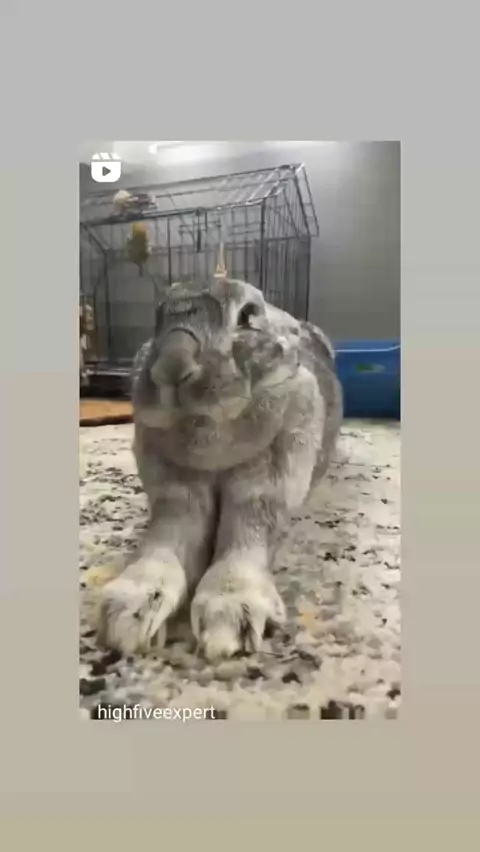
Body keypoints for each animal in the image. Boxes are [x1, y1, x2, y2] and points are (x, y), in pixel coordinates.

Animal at [92, 277, 343, 661]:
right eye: (157, 319)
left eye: (248, 315)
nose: (171, 365)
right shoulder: (176, 494)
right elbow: (167, 541)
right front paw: (127, 615)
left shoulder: (266, 488)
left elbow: (245, 536)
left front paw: (229, 621)